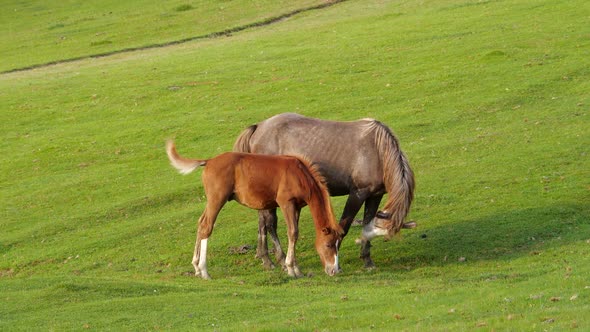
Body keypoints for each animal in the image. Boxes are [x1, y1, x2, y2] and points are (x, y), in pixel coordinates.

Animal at [232, 113, 416, 268]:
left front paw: (367, 259)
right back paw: (278, 258)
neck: (378, 151)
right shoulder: (357, 194)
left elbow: (366, 223)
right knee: (269, 223)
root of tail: (259, 126)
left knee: (263, 222)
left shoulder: (374, 196)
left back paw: (266, 258)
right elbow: (343, 227)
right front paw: (334, 258)